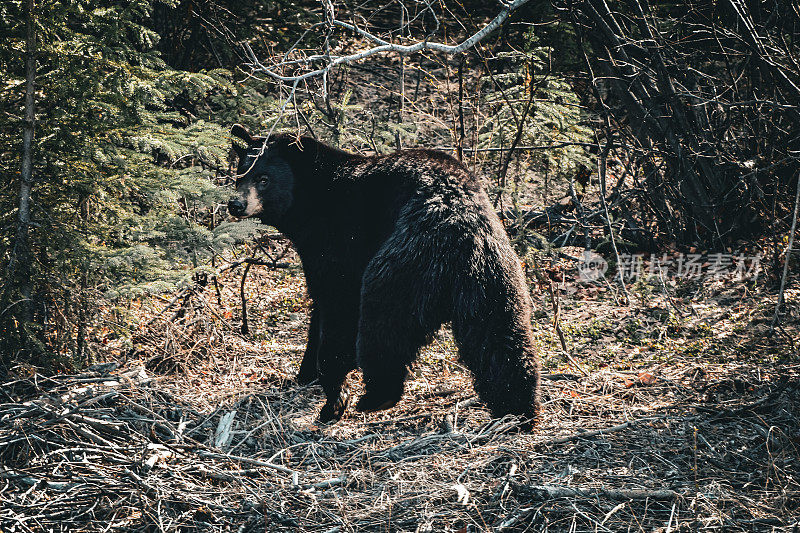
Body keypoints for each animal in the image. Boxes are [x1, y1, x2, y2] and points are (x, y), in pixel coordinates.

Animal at [230, 125, 544, 424]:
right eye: (239, 174)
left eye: (263, 179)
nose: (236, 204)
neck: (315, 197)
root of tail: (458, 228)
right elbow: (318, 308)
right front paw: (305, 373)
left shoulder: (339, 242)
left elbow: (335, 306)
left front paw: (331, 390)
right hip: (494, 278)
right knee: (501, 338)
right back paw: (519, 410)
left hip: (401, 268)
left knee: (382, 328)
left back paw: (374, 397)